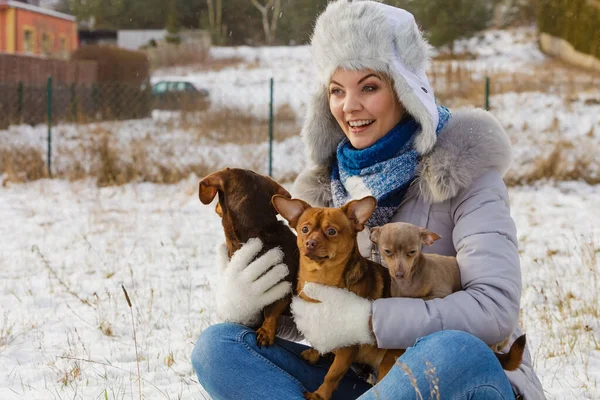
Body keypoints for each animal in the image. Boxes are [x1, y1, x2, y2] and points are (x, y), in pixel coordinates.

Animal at [274, 196, 404, 400]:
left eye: (331, 231)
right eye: (305, 229)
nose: (310, 242)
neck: (321, 281)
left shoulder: (347, 349)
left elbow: (332, 375)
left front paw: (319, 395)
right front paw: (314, 354)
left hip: (389, 361)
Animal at [368, 220, 528, 370]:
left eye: (412, 252)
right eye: (387, 251)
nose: (400, 274)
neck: (410, 280)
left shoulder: (440, 294)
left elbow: (421, 297)